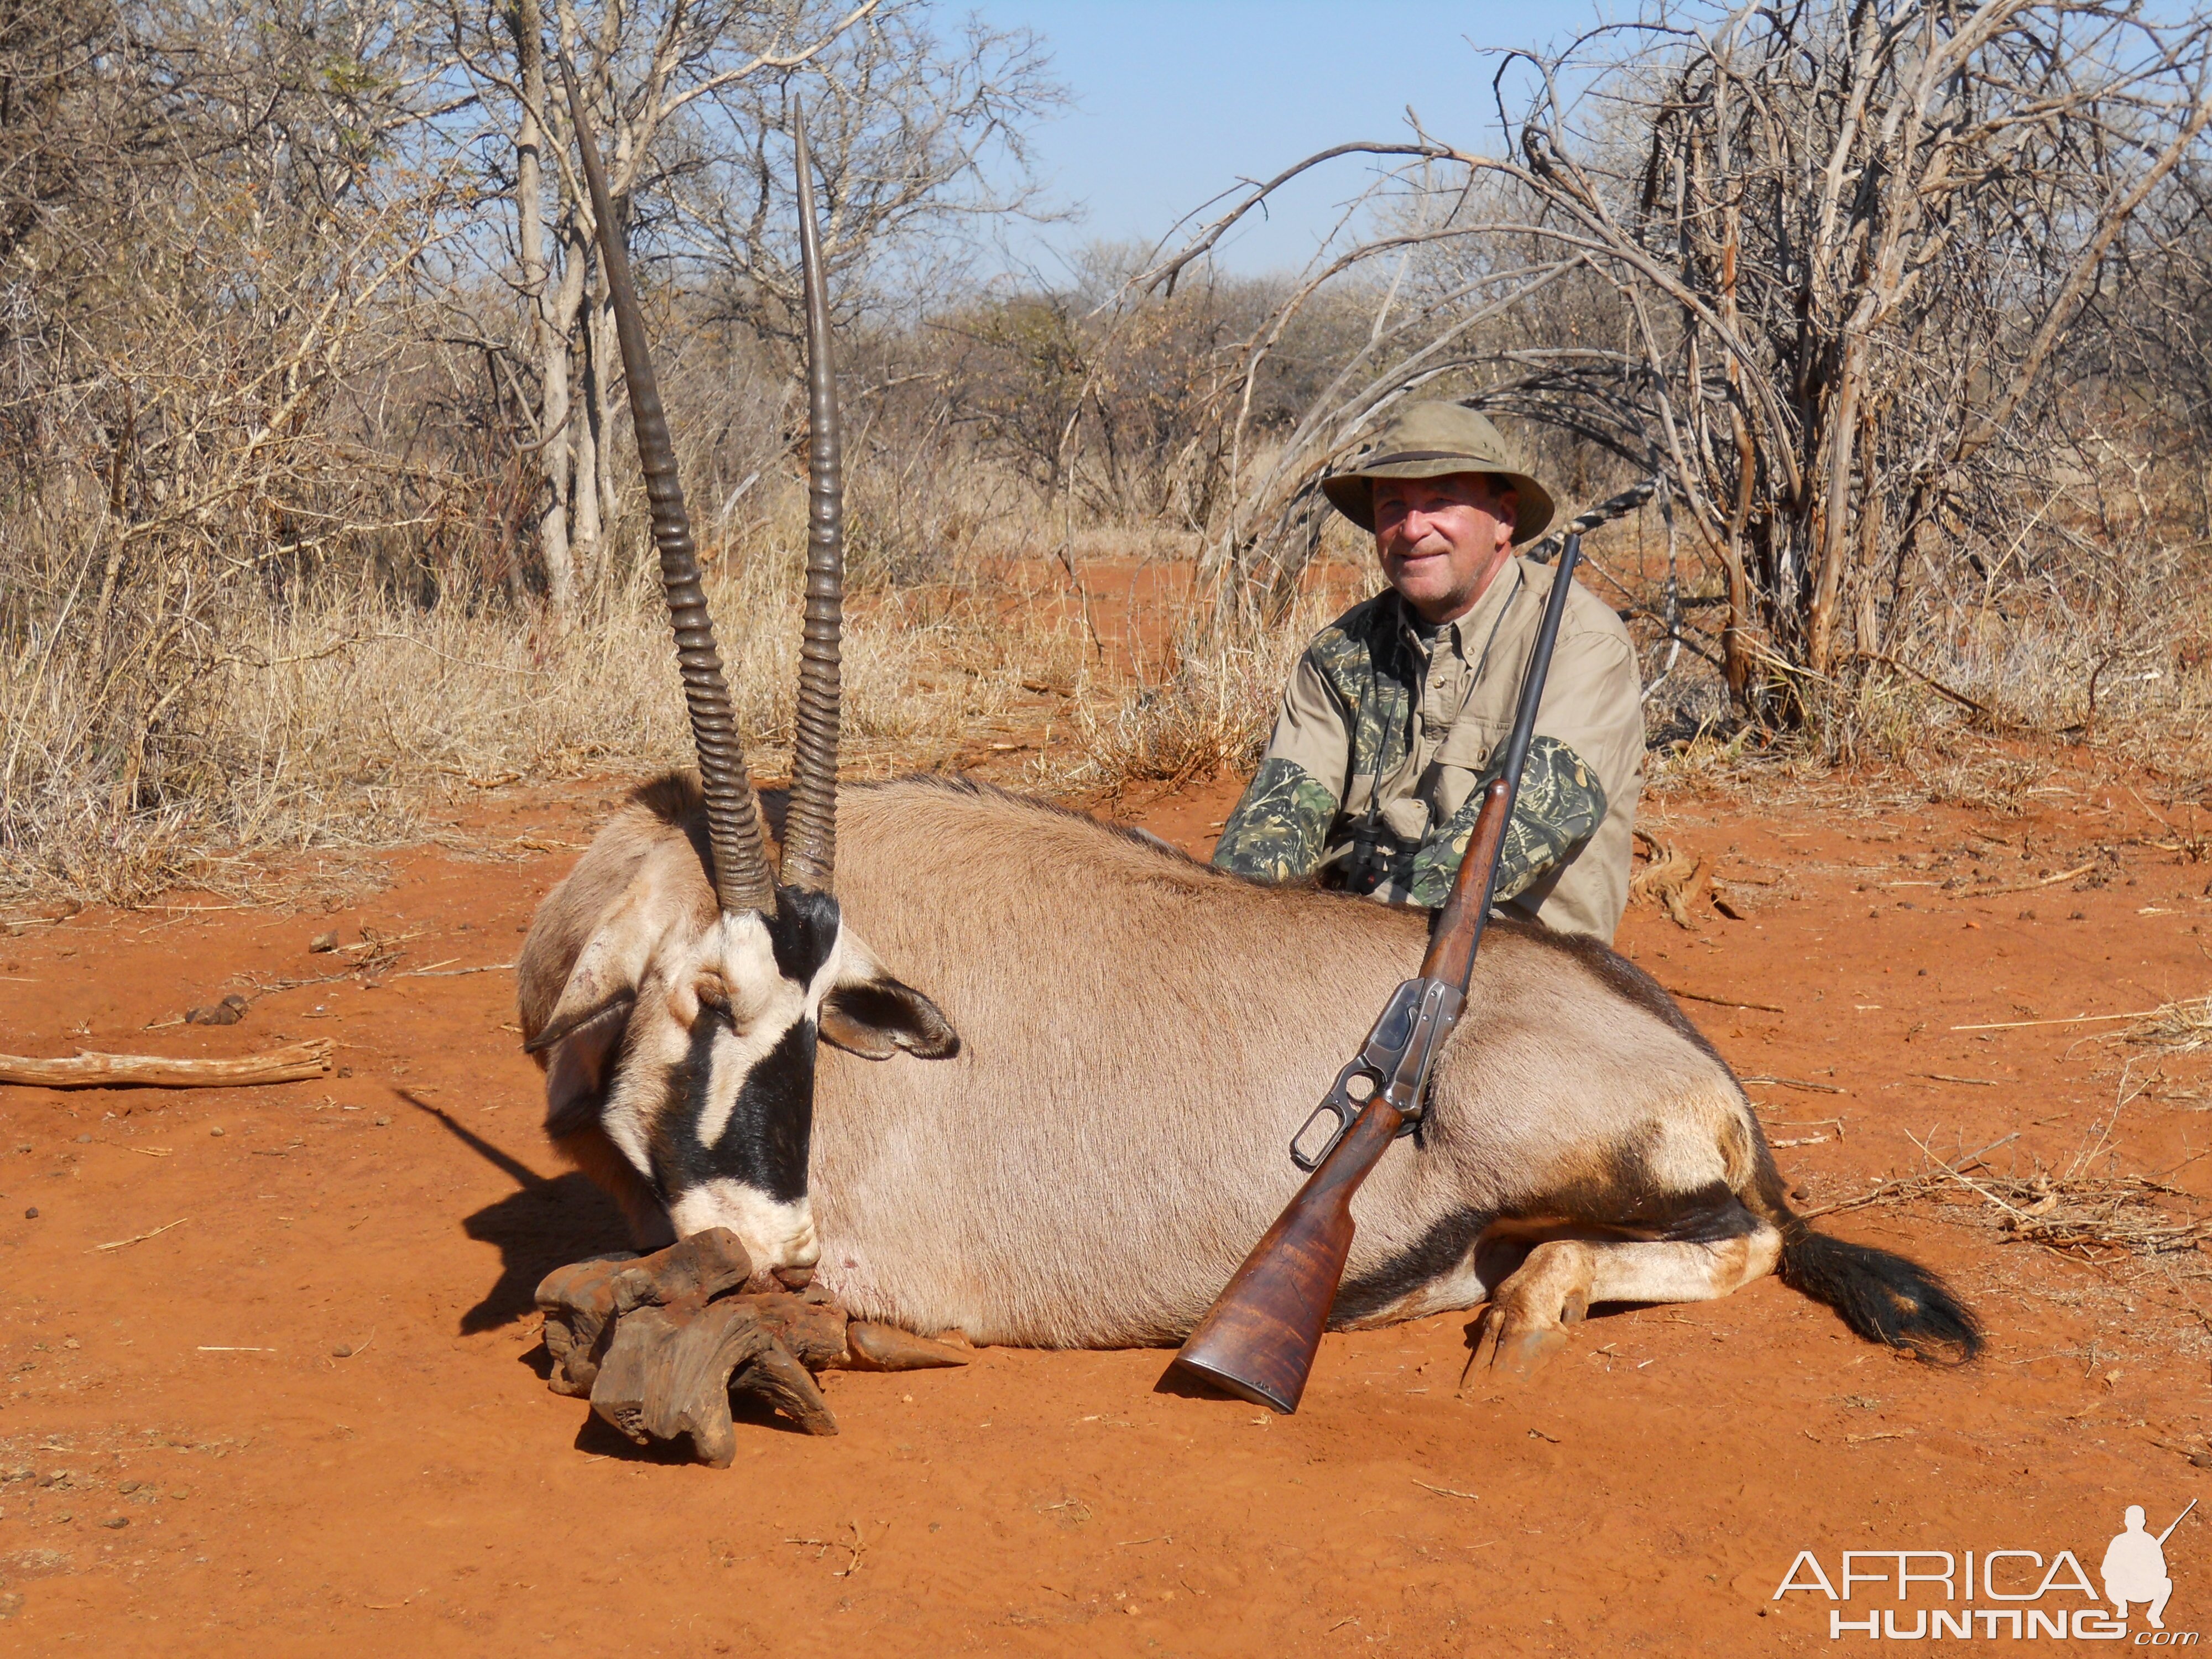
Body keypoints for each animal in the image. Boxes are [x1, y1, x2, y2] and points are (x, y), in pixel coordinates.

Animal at [518, 97, 1991, 1380]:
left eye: (810, 1021)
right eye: (704, 1002)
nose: (771, 1242)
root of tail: (1704, 1070)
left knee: (1740, 1238)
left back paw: (1527, 1314)